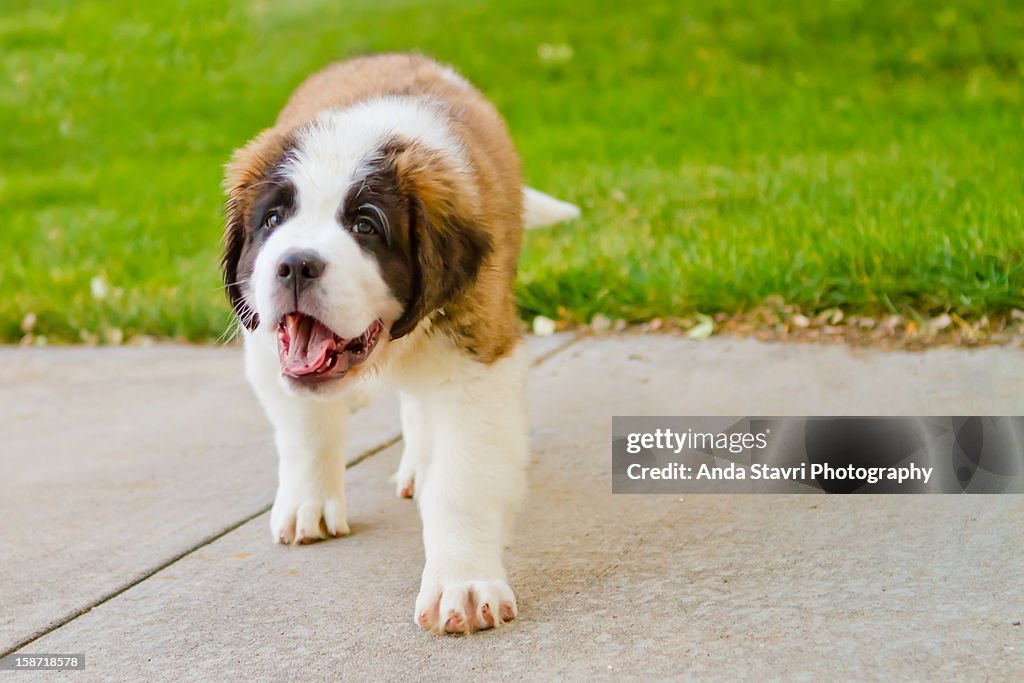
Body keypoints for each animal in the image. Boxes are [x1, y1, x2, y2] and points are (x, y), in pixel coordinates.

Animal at [221, 53, 581, 634]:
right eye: (273, 220)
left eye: (366, 226)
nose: (295, 264)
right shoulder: (265, 347)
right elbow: (306, 431)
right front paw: (308, 502)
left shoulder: (476, 361)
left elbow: (461, 480)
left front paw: (463, 583)